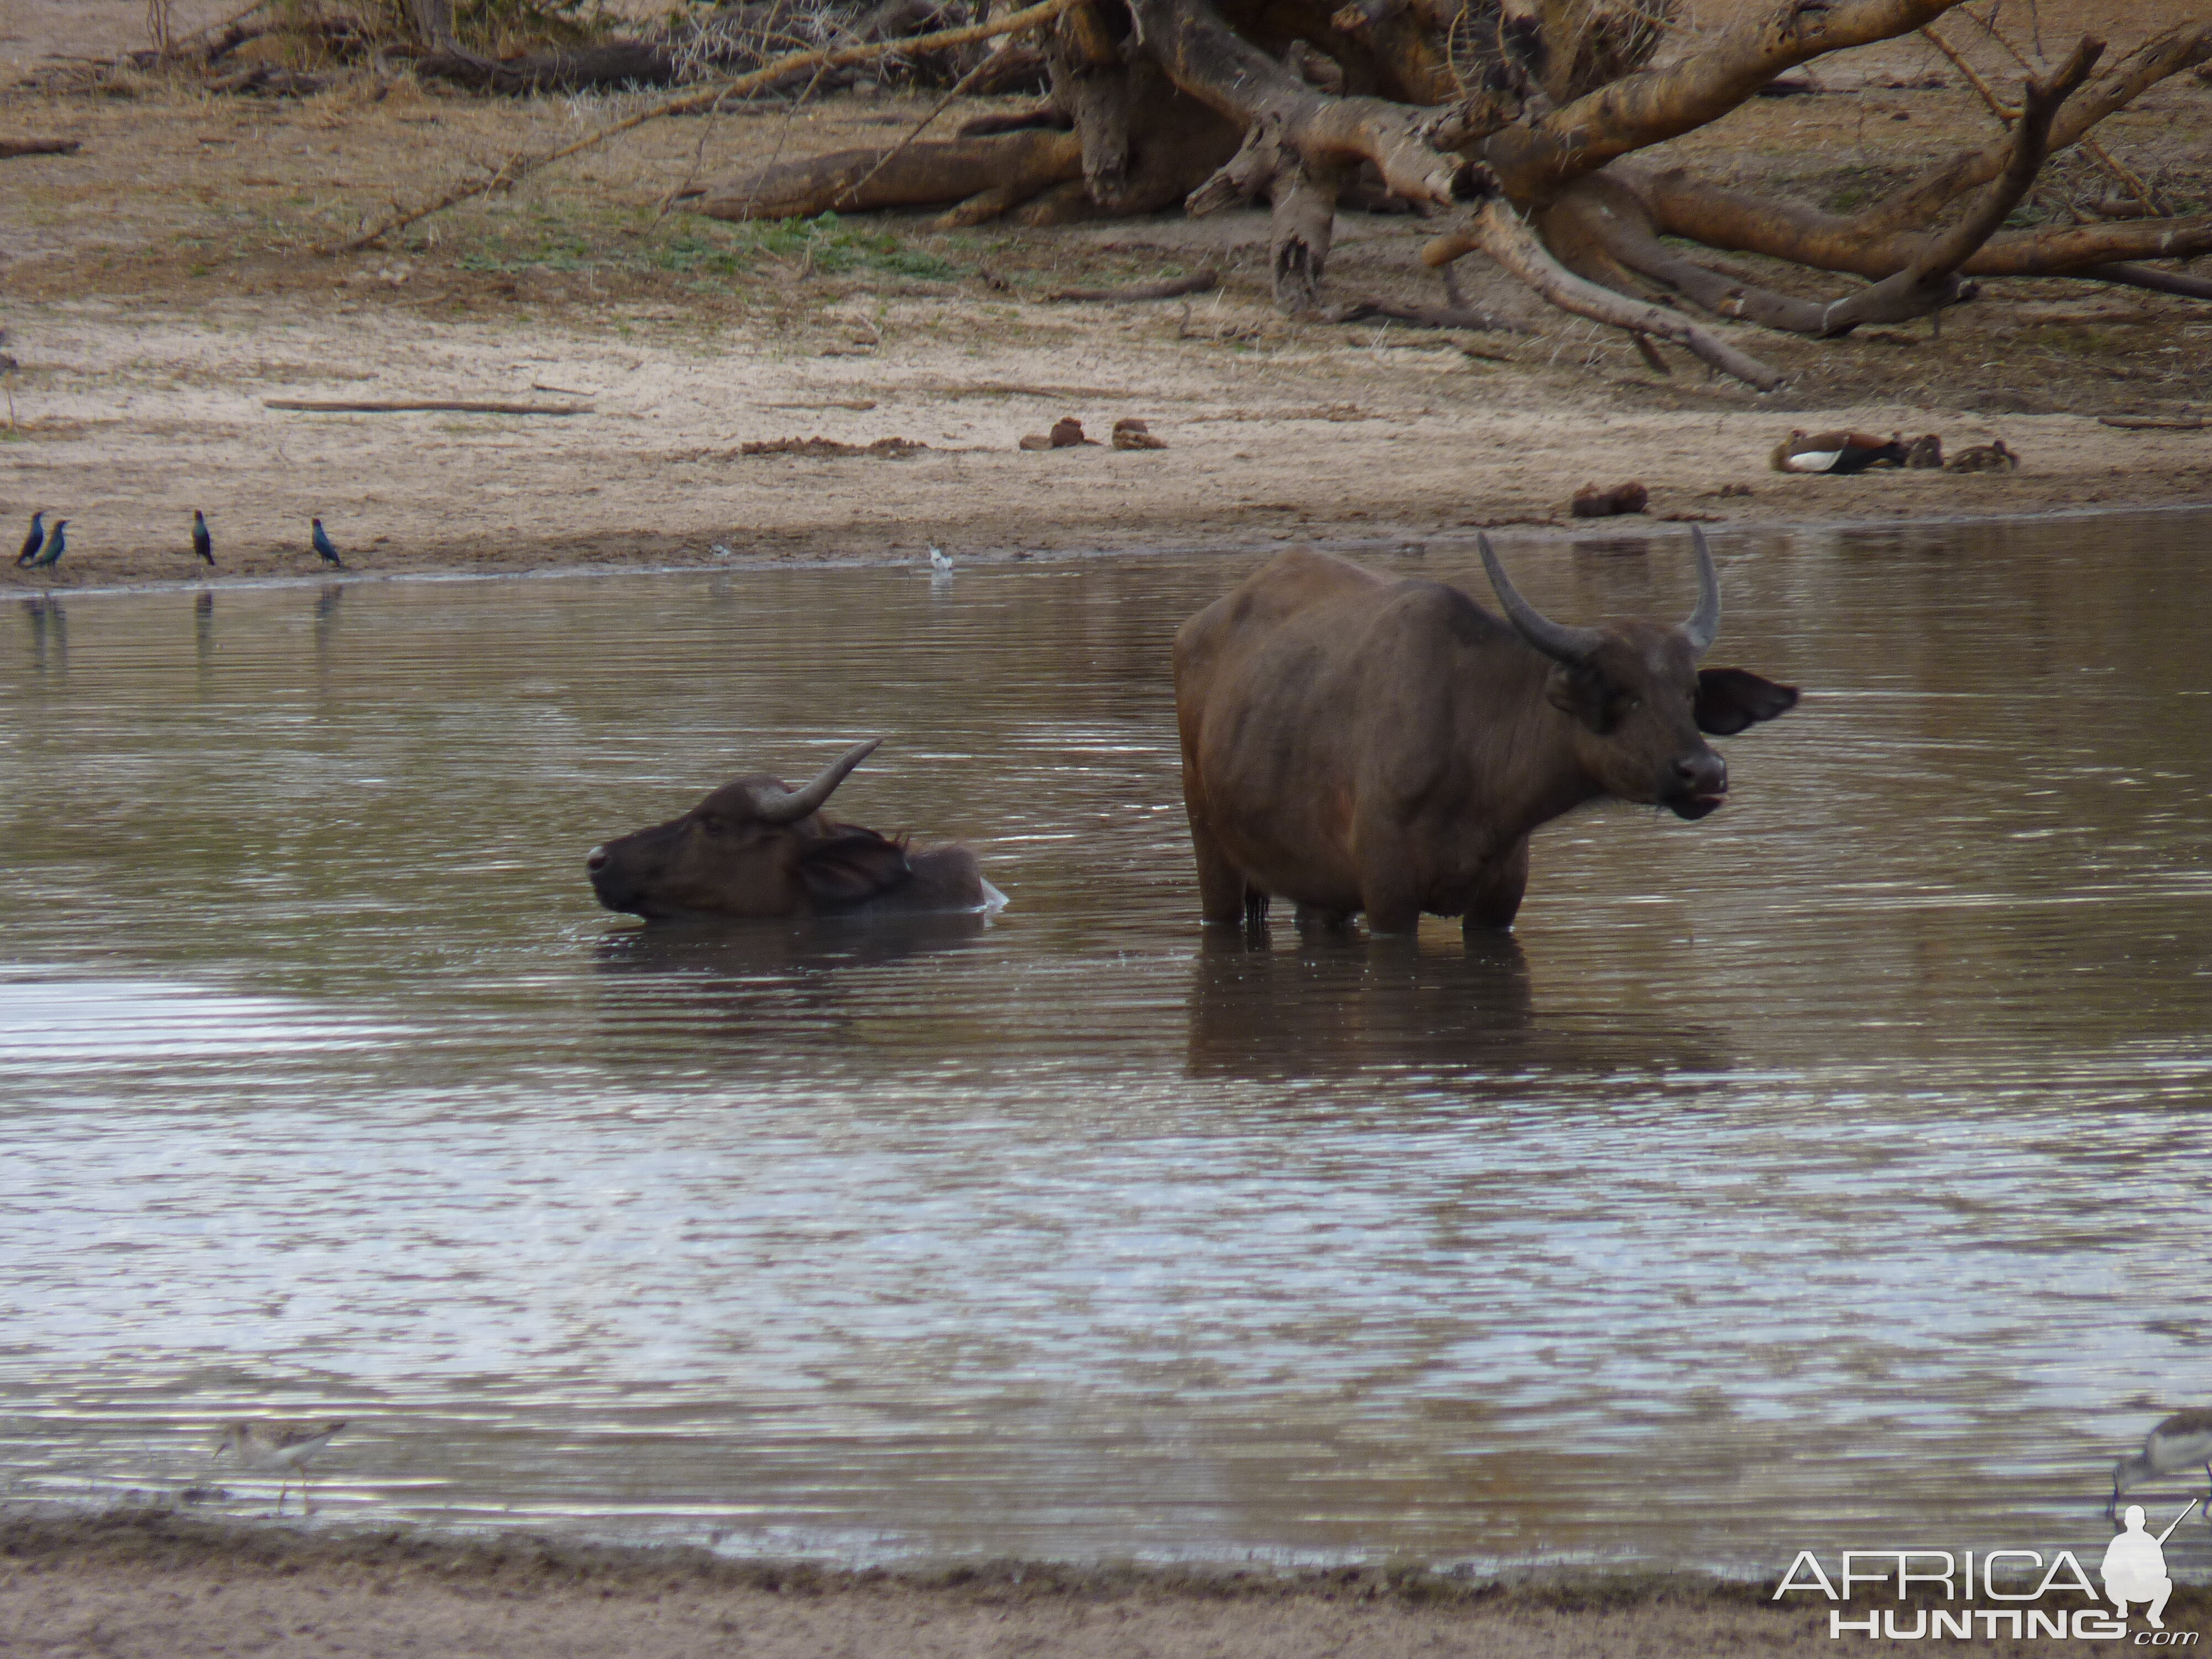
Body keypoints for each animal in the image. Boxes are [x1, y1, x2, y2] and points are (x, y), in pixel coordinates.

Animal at [1177, 540, 1796, 942]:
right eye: (1623, 693)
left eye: (1690, 693)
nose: (1705, 772)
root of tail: (1197, 628)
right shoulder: (1389, 902)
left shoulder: (1497, 906)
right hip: (1212, 852)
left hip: (1320, 892)